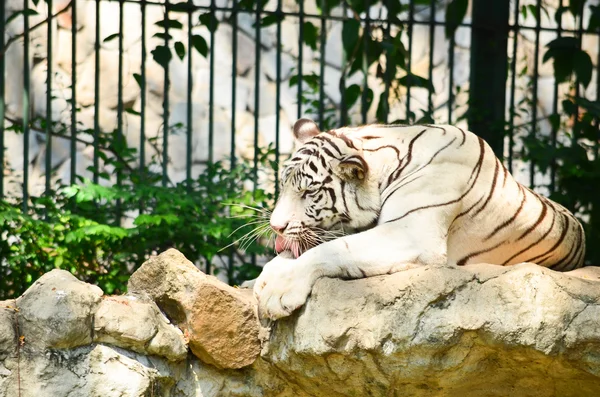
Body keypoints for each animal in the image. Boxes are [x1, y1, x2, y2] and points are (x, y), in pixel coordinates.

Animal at [254, 117, 584, 318]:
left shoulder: (410, 232)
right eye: (284, 185)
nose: (275, 226)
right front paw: (266, 276)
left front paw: (279, 291)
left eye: (309, 192)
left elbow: (331, 249)